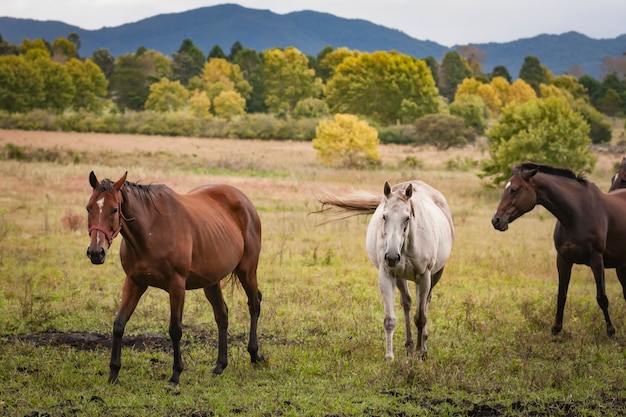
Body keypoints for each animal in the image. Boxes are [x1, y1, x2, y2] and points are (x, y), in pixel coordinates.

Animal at [86, 171, 264, 384]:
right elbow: (119, 324)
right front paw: (113, 372)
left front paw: (176, 374)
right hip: (211, 281)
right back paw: (220, 365)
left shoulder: (176, 285)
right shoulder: (134, 282)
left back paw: (254, 354)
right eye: (88, 208)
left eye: (114, 209)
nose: (96, 252)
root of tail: (245, 201)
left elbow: (175, 329)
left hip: (247, 271)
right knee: (222, 314)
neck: (151, 230)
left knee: (254, 304)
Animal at [314, 180, 450, 360]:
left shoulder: (424, 276)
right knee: (407, 303)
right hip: (400, 278)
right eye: (384, 216)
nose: (392, 256)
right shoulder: (387, 275)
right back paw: (409, 346)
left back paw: (422, 345)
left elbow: (421, 318)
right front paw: (389, 356)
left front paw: (420, 353)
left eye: (407, 218)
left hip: (434, 275)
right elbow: (389, 319)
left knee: (425, 303)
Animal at [490, 162, 624, 334]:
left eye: (514, 189)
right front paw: (556, 329)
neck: (577, 213)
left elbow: (602, 297)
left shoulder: (597, 260)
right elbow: (561, 295)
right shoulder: (563, 259)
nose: (496, 220)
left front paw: (611, 331)